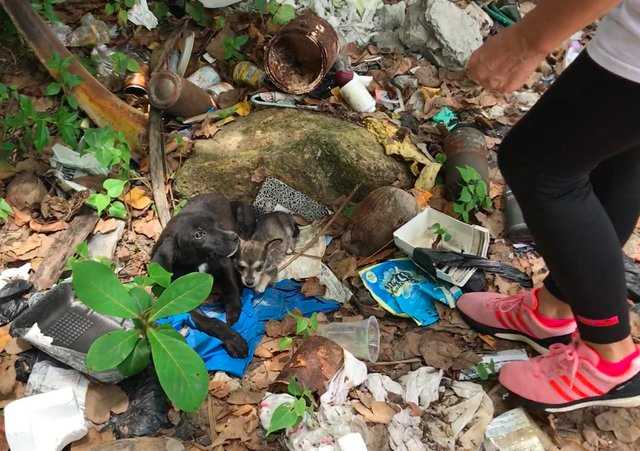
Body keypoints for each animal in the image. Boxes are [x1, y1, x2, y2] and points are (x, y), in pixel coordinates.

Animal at [151, 192, 256, 358]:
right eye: (199, 235)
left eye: (216, 224)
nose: (234, 237)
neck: (196, 262)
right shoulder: (181, 301)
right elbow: (212, 323)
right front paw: (234, 340)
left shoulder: (223, 262)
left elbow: (231, 286)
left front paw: (233, 310)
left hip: (245, 214)